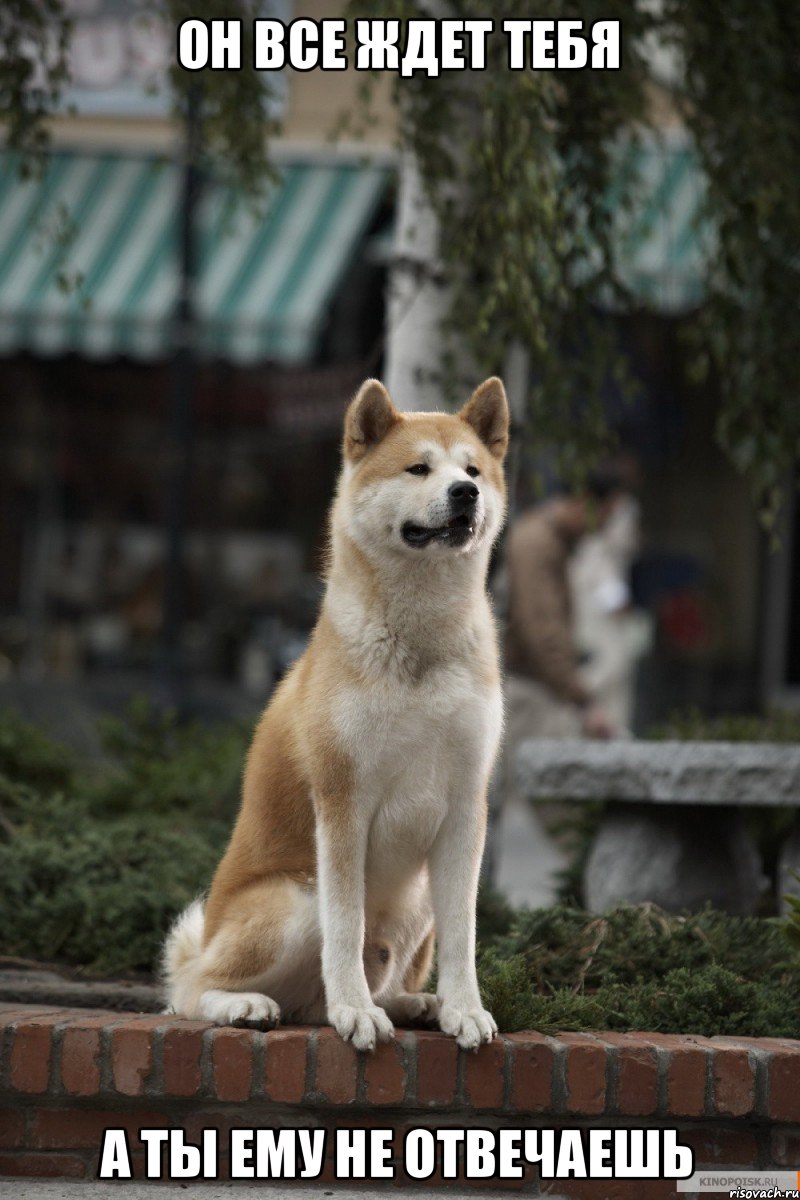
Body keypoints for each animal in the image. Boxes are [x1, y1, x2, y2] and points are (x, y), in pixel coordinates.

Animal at [165, 374, 510, 1051]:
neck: (420, 643)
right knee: (189, 990)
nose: (465, 493)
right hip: (295, 900)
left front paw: (464, 1009)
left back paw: (415, 1004)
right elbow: (346, 928)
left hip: (417, 900)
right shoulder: (343, 801)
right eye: (418, 468)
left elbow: (464, 935)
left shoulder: (466, 806)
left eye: (473, 470)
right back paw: (250, 1005)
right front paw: (355, 1011)